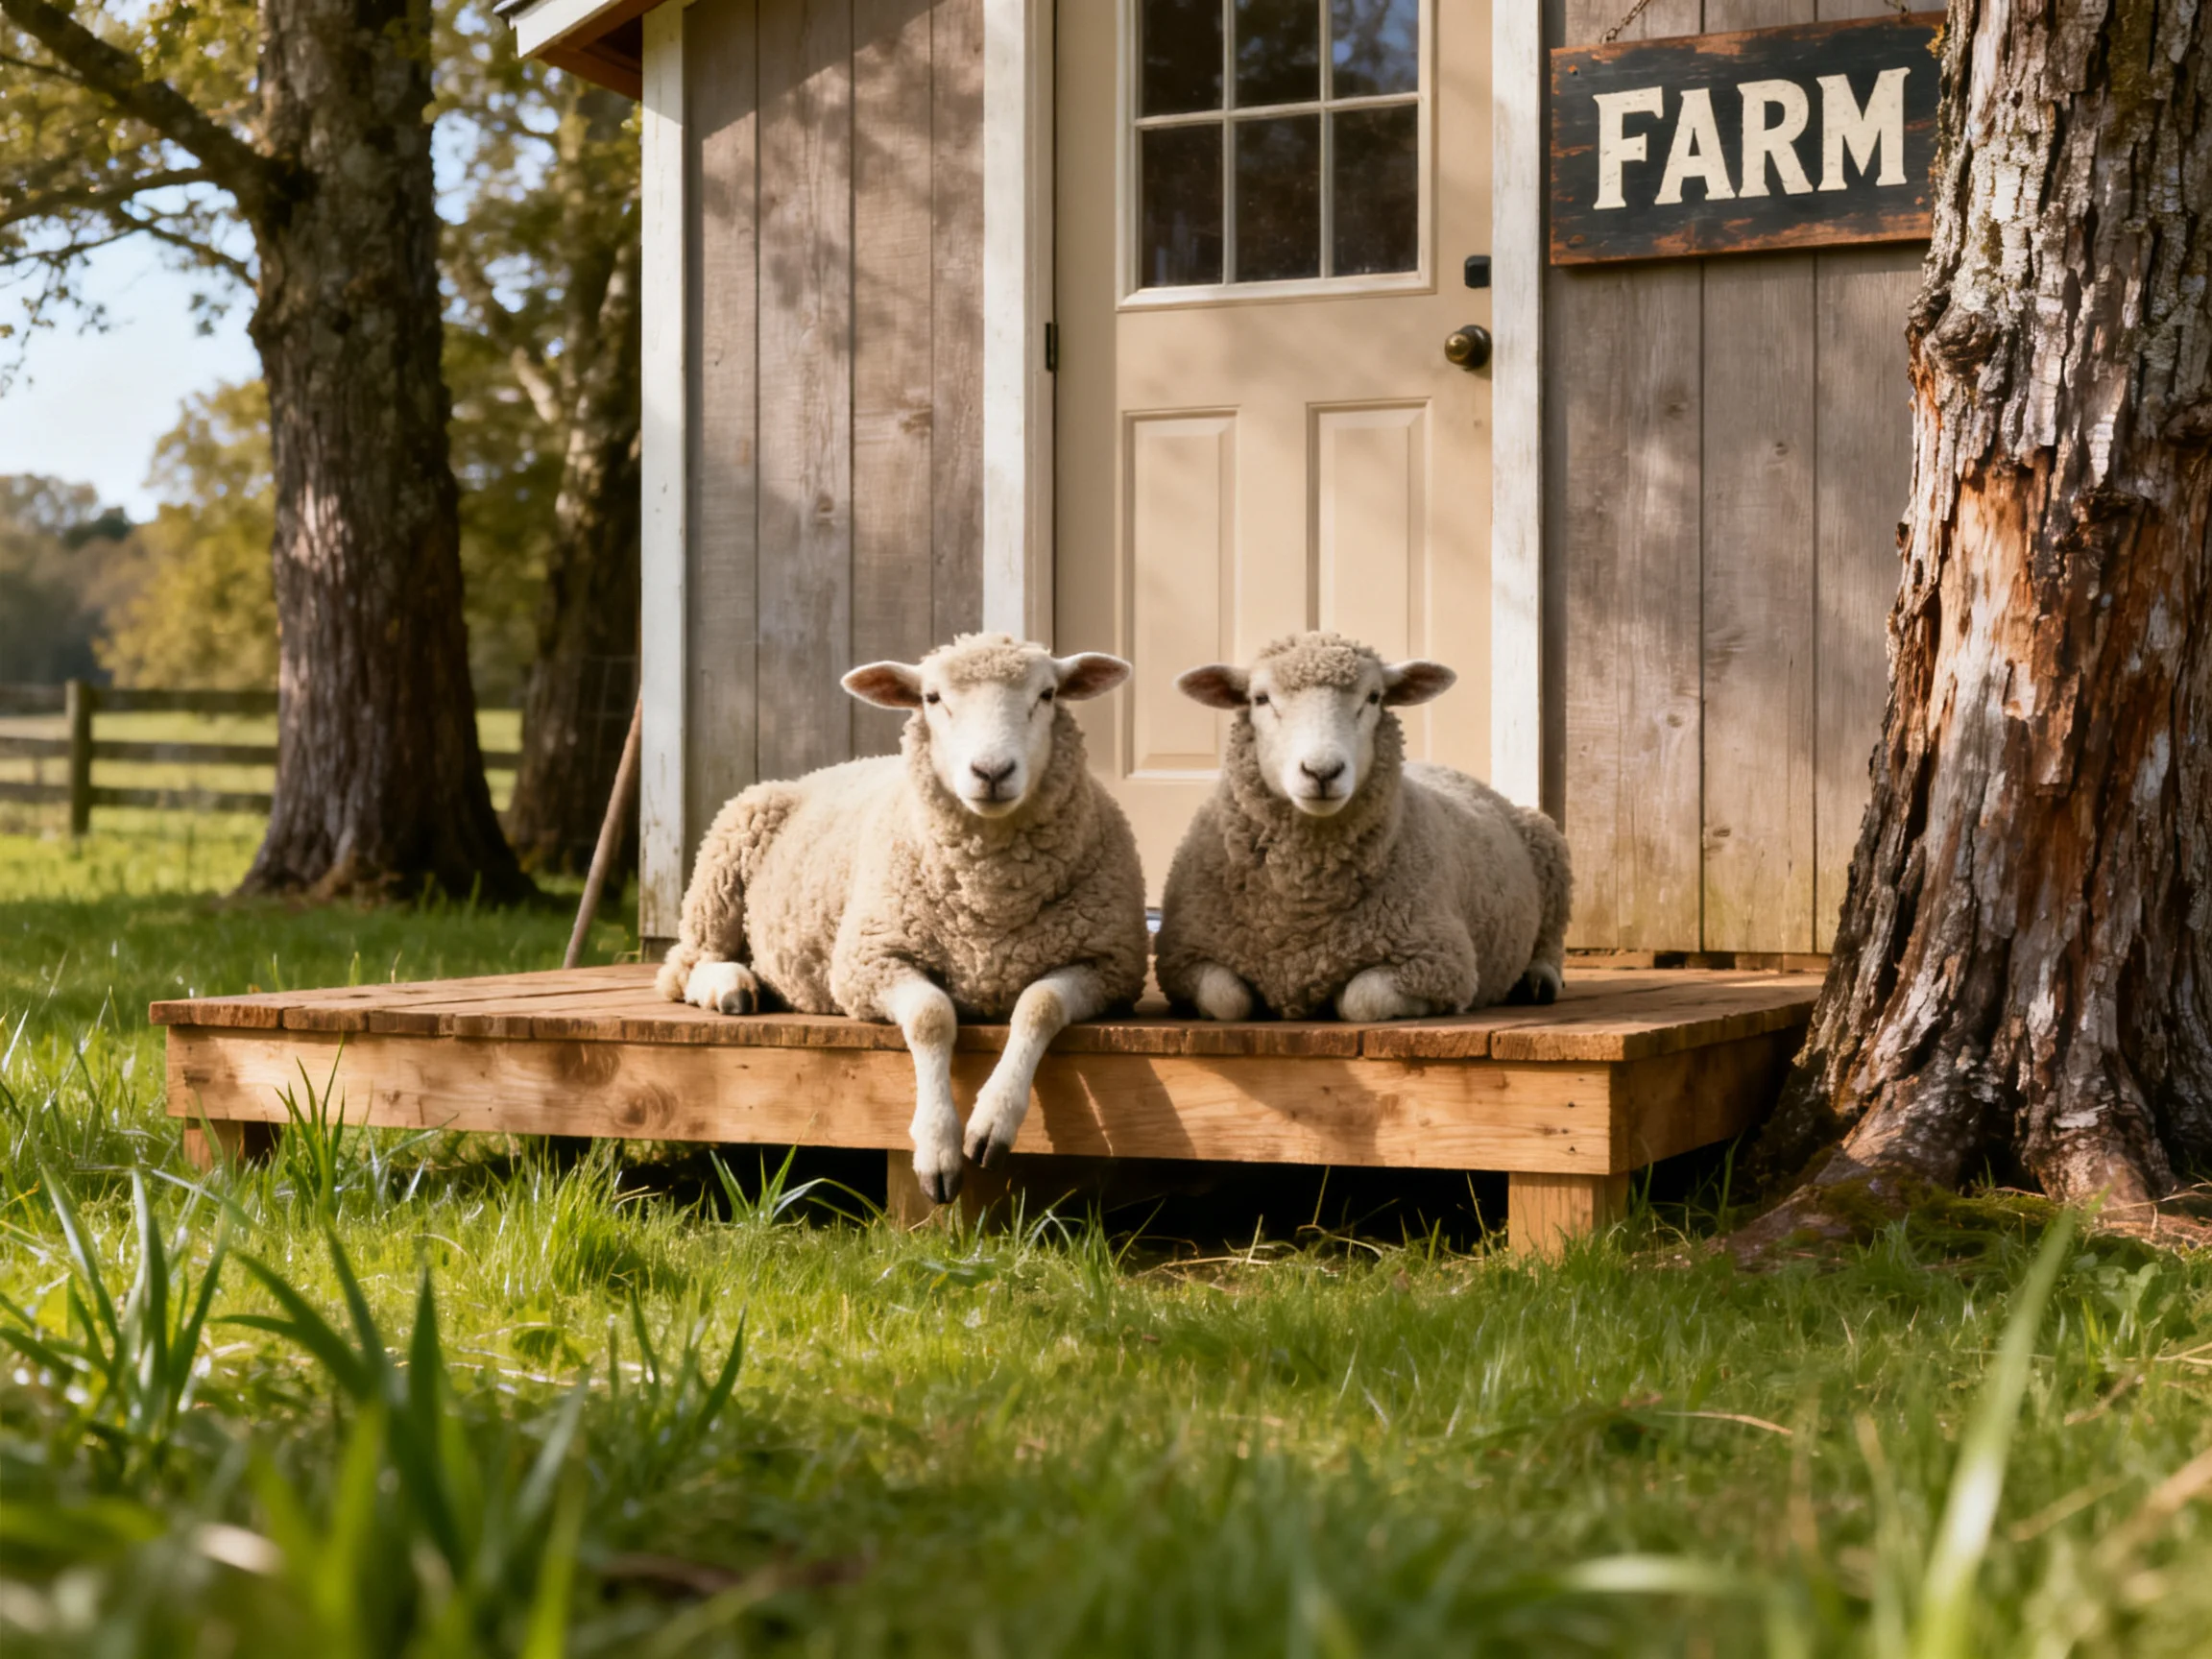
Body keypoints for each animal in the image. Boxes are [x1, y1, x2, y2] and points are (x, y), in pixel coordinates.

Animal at [655, 633, 1150, 1204]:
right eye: (932, 698)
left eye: (1046, 694)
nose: (992, 772)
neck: (989, 908)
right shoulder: (869, 959)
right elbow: (932, 1017)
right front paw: (937, 1147)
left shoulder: (1109, 965)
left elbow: (1039, 1006)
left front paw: (992, 1121)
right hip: (725, 853)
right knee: (683, 966)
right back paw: (729, 986)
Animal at [1153, 632, 1571, 1024]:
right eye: (1260, 699)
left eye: (1373, 697)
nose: (1322, 772)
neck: (1301, 910)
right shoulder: (1184, 958)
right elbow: (1228, 1000)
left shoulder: (1438, 962)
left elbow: (1360, 1000)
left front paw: (1334, 999)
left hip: (1551, 853)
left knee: (1550, 940)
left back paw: (1538, 980)